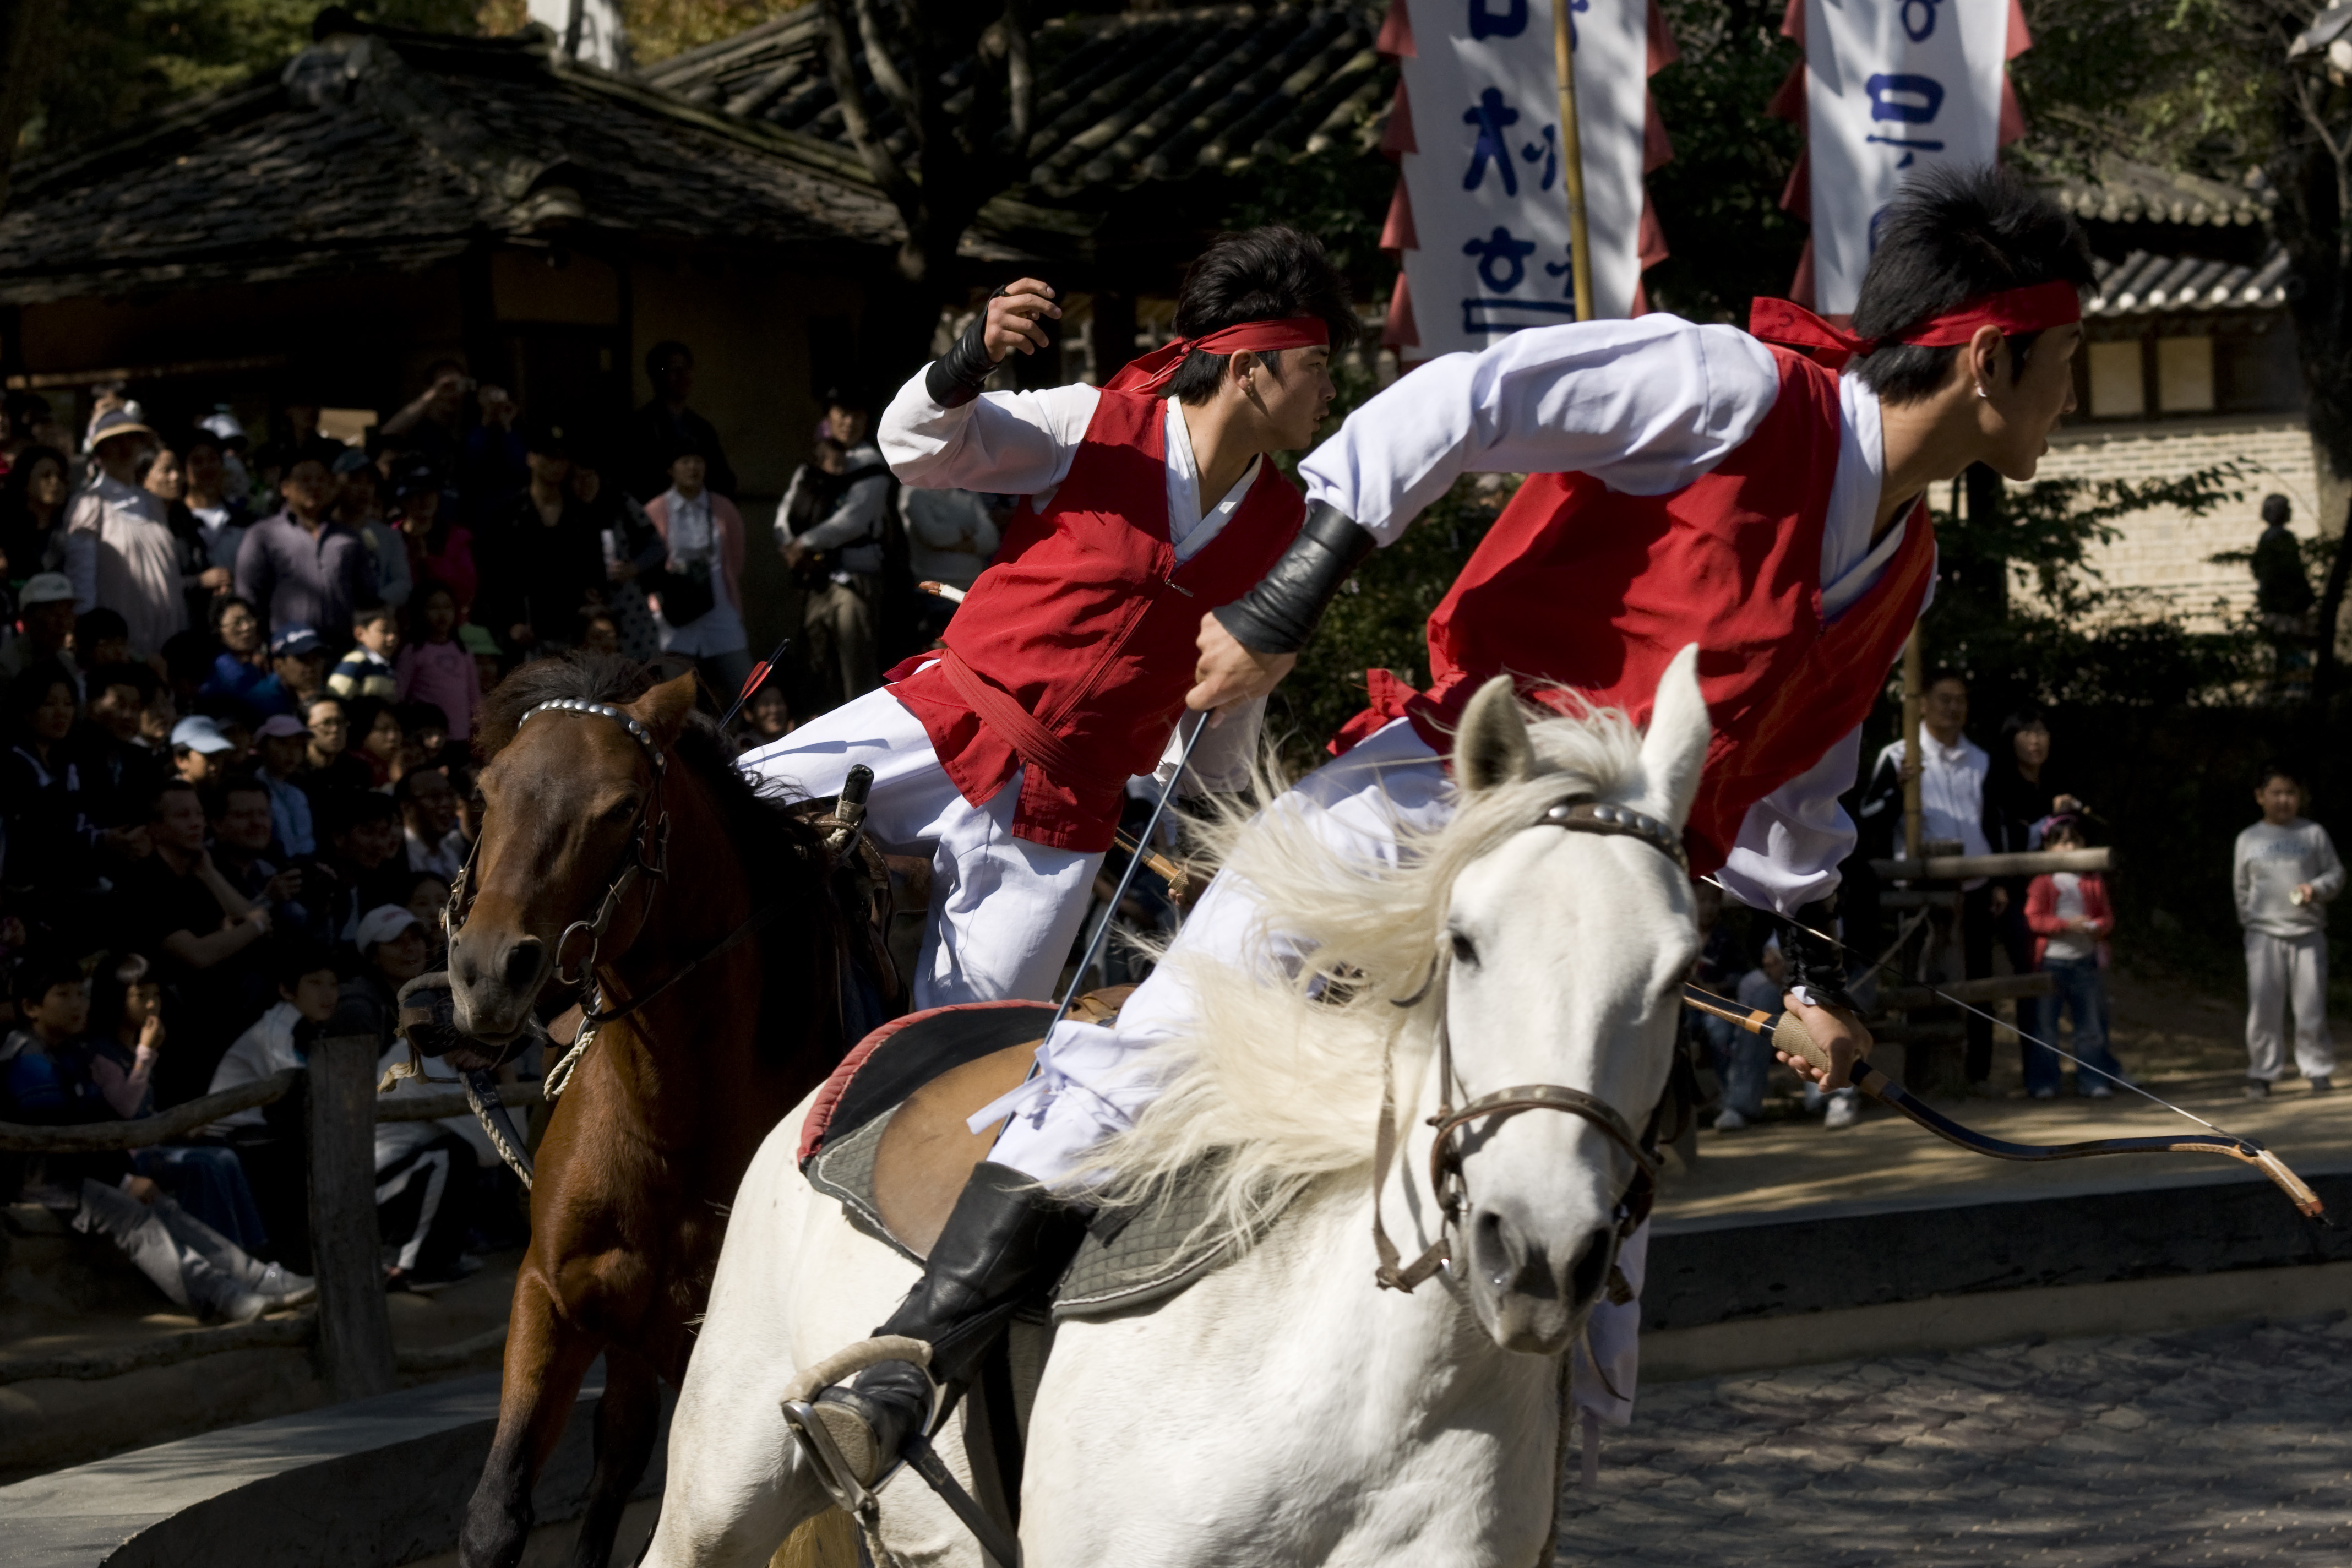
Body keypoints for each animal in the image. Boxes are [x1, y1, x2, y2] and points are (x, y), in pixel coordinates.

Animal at [447, 658, 875, 1568]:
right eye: (489, 791)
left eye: (621, 807)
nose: (489, 970)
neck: (669, 1122)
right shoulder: (553, 1295)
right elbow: (496, 1516)